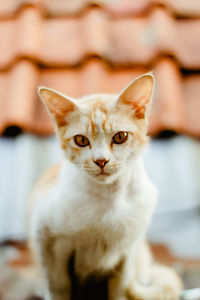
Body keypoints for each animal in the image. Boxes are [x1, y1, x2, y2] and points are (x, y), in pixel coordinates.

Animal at [28, 73, 183, 300]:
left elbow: (120, 285)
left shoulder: (128, 250)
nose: (101, 161)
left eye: (120, 137)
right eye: (81, 140)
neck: (109, 198)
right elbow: (58, 285)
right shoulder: (47, 240)